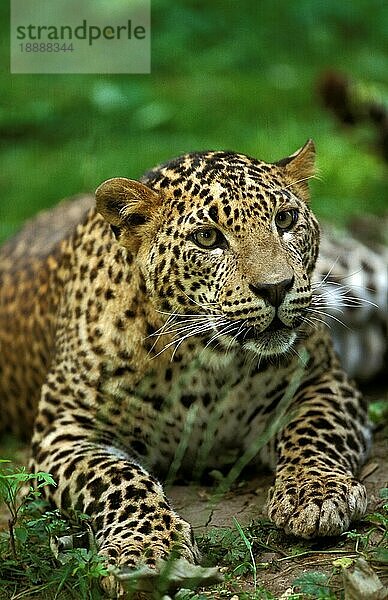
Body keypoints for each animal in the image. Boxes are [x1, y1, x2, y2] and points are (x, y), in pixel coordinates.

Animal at [0, 141, 384, 596]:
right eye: (207, 237)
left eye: (285, 219)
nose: (276, 288)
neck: (205, 363)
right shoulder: (65, 432)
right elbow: (119, 478)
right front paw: (147, 548)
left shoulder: (320, 380)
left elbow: (313, 430)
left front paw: (317, 492)